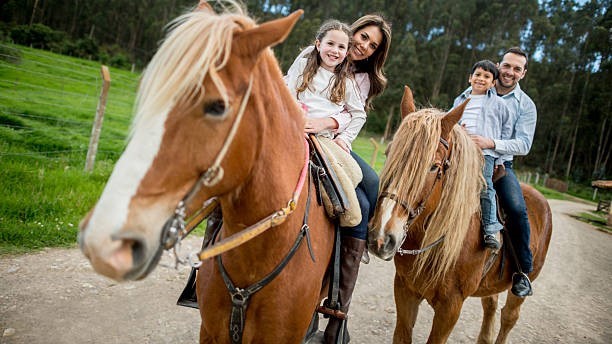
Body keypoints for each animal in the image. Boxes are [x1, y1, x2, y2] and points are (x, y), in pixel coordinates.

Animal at [368, 86, 556, 344]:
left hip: (521, 284)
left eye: (434, 166)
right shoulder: (405, 290)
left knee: (509, 317)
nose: (382, 236)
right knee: (490, 306)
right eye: (389, 153)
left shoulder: (450, 307)